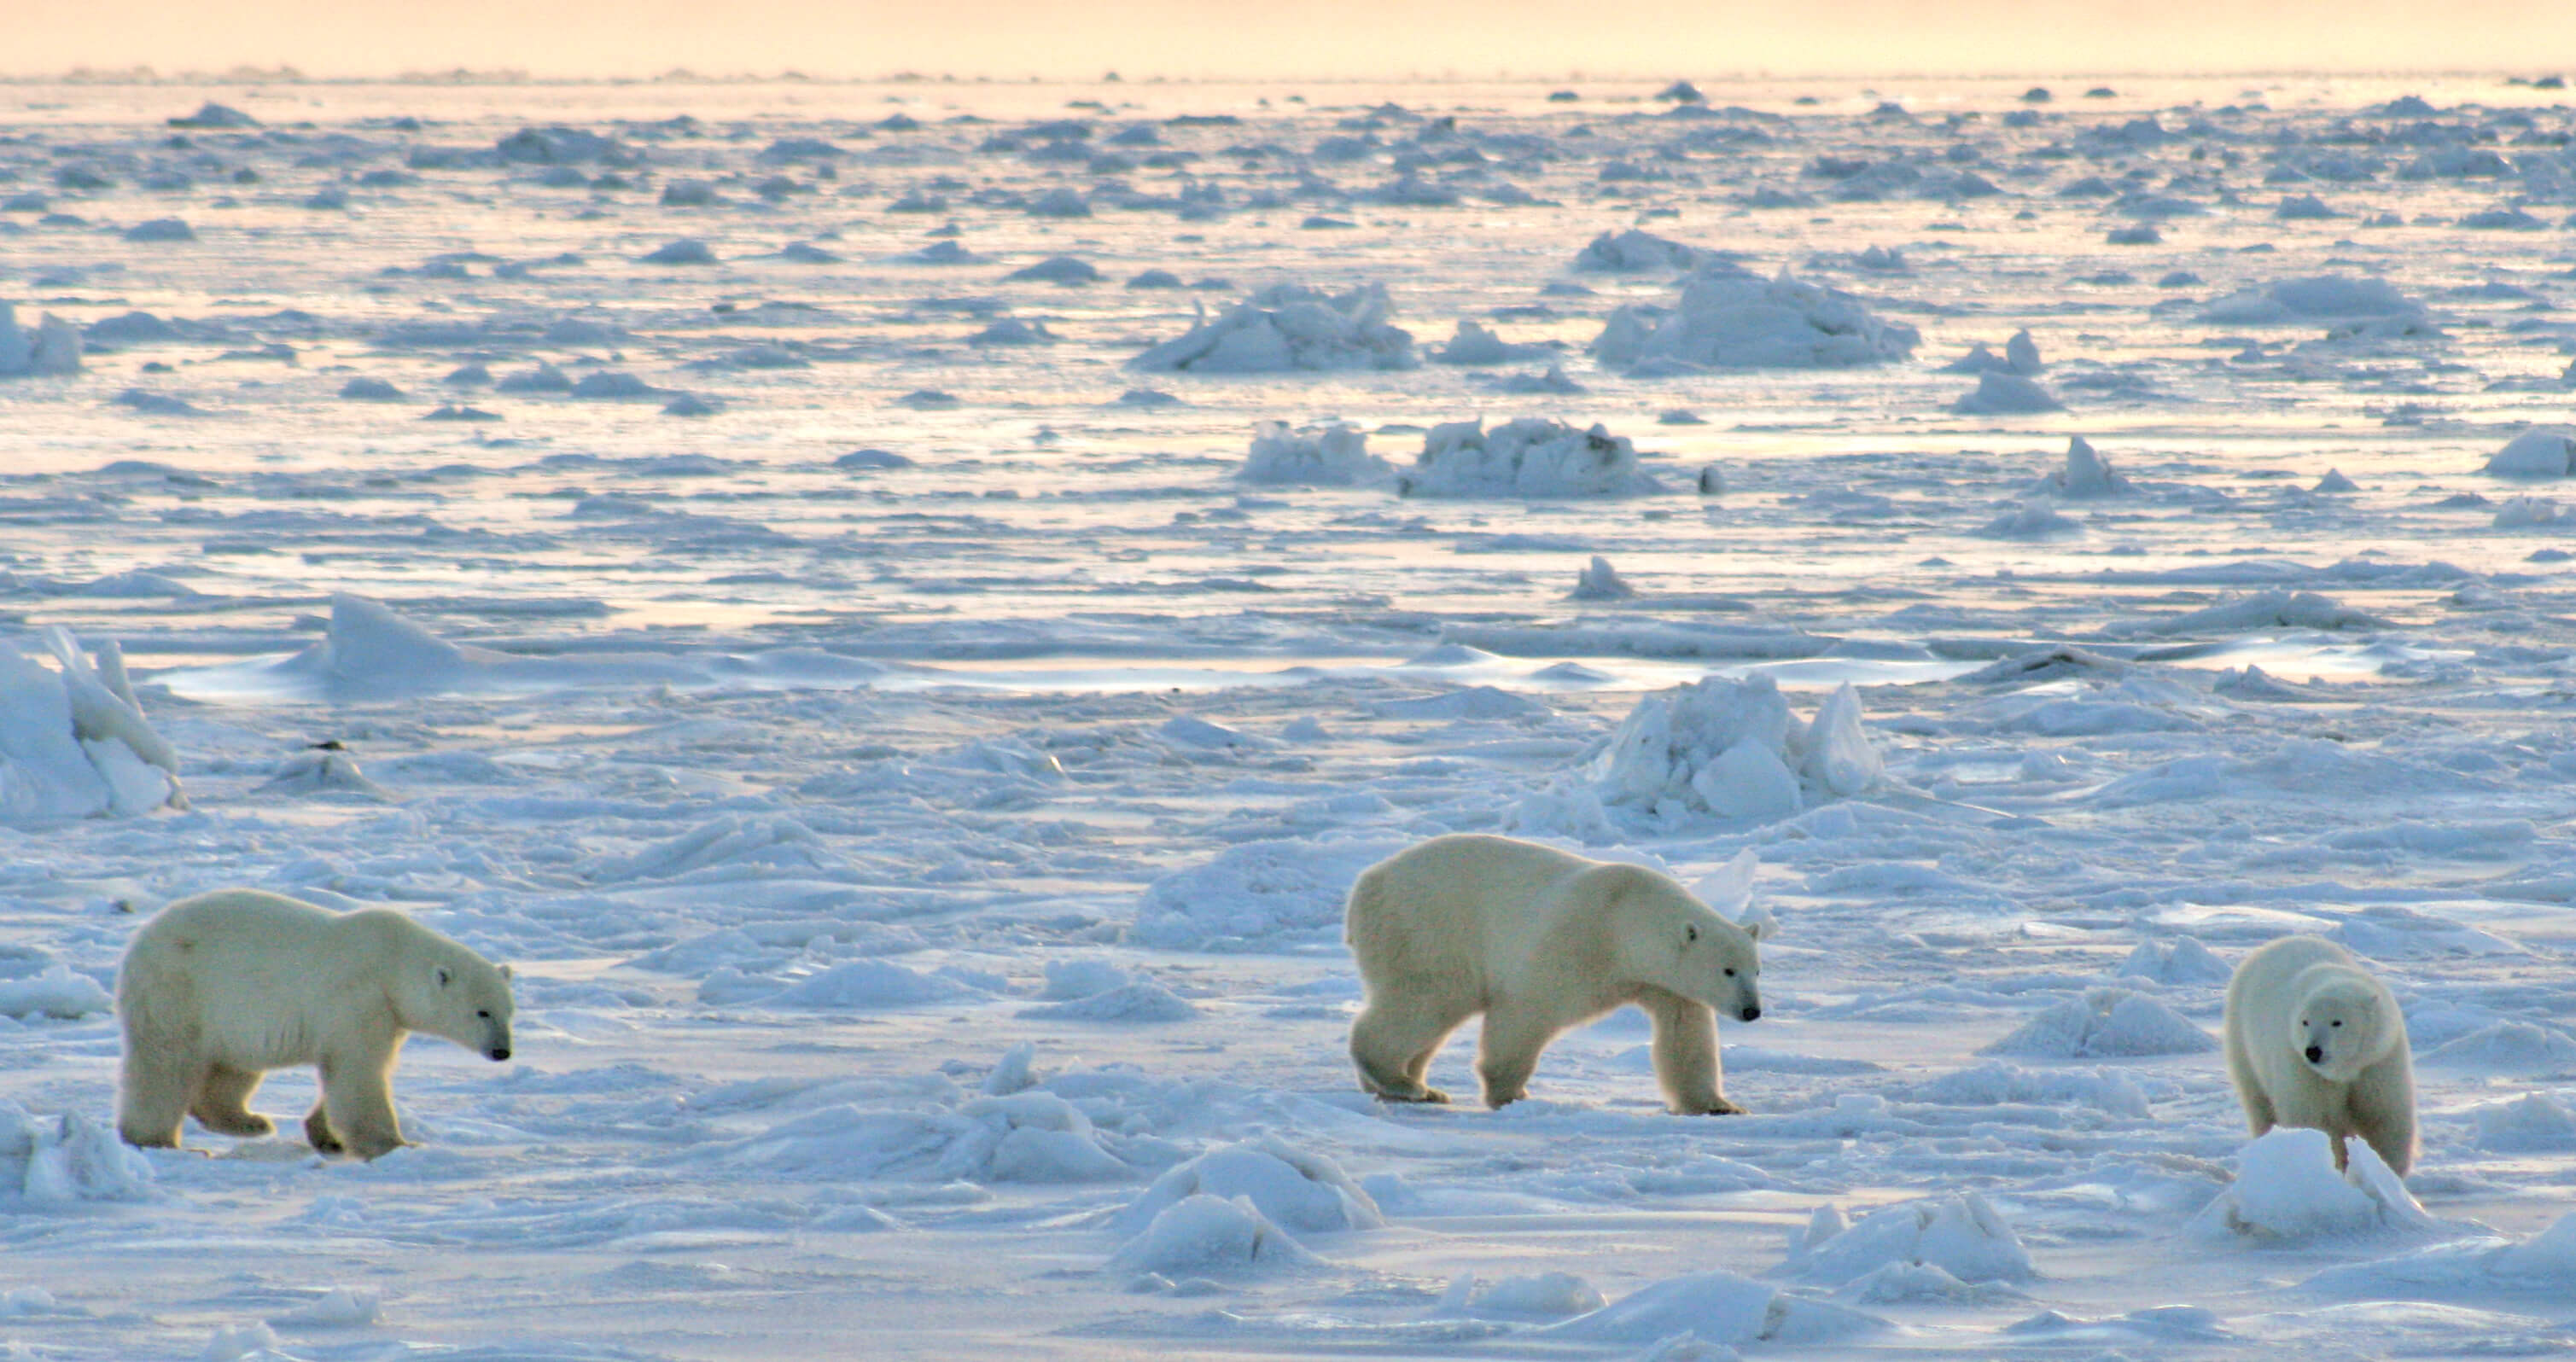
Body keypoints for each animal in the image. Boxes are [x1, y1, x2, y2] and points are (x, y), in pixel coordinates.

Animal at [115, 890, 515, 1158]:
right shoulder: (360, 996)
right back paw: (155, 1138)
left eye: (509, 1011)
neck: (393, 962)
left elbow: (351, 1069)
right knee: (165, 1063)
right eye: (483, 1012)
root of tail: (142, 937)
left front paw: (326, 1135)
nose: (503, 1051)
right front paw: (395, 1144)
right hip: (179, 988)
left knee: (233, 1067)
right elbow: (359, 1071)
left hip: (231, 1016)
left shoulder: (387, 1013)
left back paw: (249, 1121)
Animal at [1349, 834, 1772, 1112]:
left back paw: (1416, 1087)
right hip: (1428, 928)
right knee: (1427, 999)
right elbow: (1527, 1009)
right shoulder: (1578, 939)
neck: (1626, 917)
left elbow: (1686, 1035)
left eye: (1757, 970)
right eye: (1728, 970)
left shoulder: (1664, 984)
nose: (1752, 1011)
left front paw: (1720, 1106)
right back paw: (1400, 1081)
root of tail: (1366, 884)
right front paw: (1508, 1091)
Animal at [2225, 937, 2421, 1168]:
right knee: (2259, 1105)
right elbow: (2315, 1120)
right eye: (2305, 1022)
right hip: (2243, 1044)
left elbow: (2384, 1119)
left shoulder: (2378, 1061)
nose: (2313, 1051)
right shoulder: (2303, 1070)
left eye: (2337, 1022)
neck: (2345, 1069)